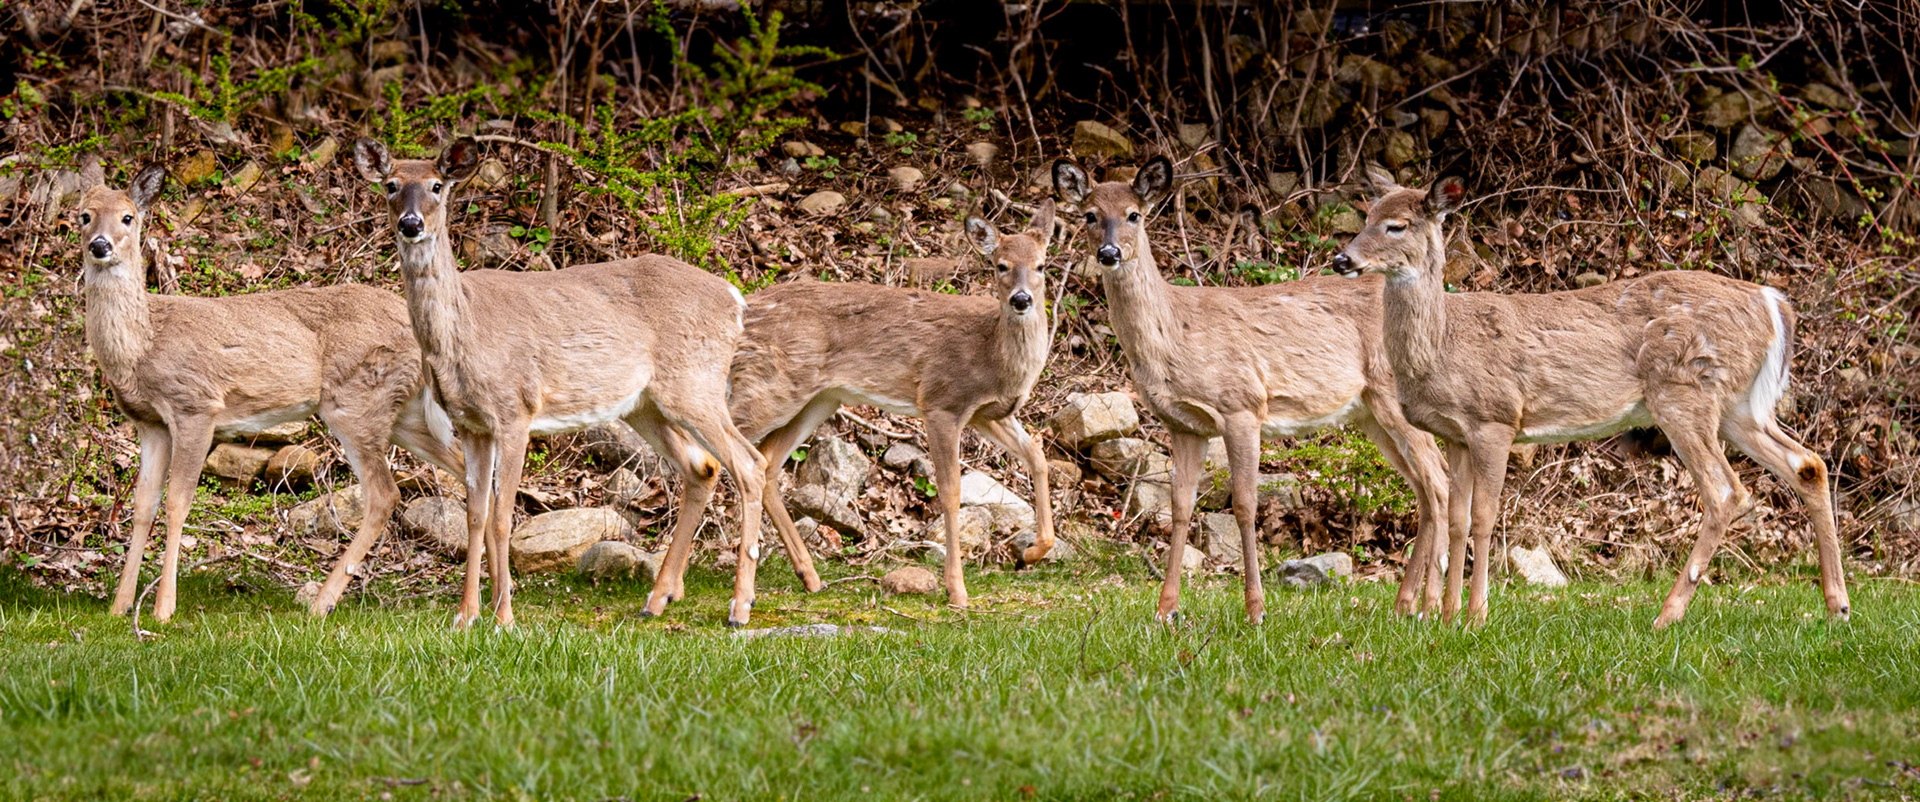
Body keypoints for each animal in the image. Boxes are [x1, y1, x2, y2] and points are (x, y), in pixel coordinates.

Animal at [75, 165, 466, 623]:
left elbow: (177, 503)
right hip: (403, 412)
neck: (144, 345)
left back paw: (321, 602)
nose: (100, 245)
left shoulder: (195, 406)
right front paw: (119, 606)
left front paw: (163, 609)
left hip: (357, 401)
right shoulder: (150, 424)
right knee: (467, 467)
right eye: (84, 215)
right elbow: (142, 506)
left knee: (385, 494)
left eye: (128, 217)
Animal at [354, 136, 793, 628]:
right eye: (391, 185)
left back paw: (740, 607)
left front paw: (504, 617)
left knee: (749, 463)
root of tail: (736, 299)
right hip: (645, 404)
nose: (411, 223)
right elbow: (474, 514)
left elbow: (503, 517)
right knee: (704, 467)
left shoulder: (515, 409)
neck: (463, 330)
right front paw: (466, 616)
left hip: (695, 384)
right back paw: (657, 599)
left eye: (436, 185)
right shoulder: (470, 423)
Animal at [721, 204, 1059, 607]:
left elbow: (1037, 455)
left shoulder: (987, 414)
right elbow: (951, 492)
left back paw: (810, 576)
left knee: (766, 461)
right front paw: (957, 589)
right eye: (1001, 265)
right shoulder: (941, 401)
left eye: (1041, 265)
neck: (991, 354)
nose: (1021, 300)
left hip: (819, 399)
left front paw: (1031, 553)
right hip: (770, 385)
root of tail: (744, 311)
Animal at [1053, 156, 1450, 624]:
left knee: (1438, 478)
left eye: (1134, 214)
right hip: (1369, 412)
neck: (1174, 334)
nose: (1109, 253)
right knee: (1424, 486)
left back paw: (1431, 606)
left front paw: (1256, 609)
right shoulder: (1184, 425)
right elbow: (1180, 508)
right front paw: (1166, 610)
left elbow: (1245, 505)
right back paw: (1405, 604)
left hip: (1390, 395)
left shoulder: (1241, 405)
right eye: (1089, 215)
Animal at [1332, 168, 1851, 628]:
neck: (1444, 345)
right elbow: (1457, 518)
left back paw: (1667, 615)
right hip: (1737, 407)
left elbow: (1484, 517)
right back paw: (1837, 607)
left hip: (1684, 391)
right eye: (1366, 215)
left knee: (1726, 491)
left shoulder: (1496, 418)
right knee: (1808, 464)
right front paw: (1445, 617)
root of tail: (1774, 303)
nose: (1342, 260)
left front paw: (1475, 616)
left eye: (1397, 224)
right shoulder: (1456, 434)